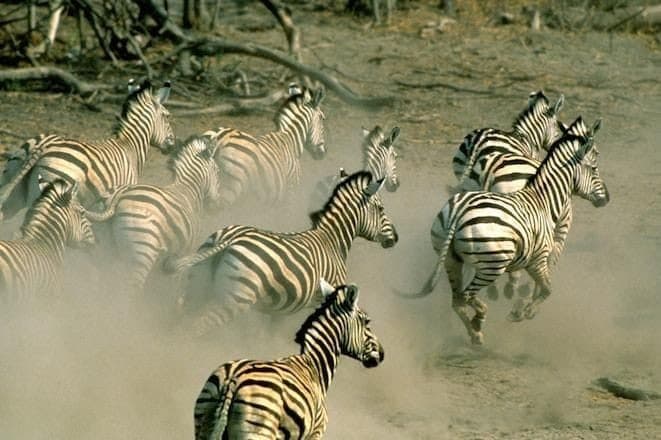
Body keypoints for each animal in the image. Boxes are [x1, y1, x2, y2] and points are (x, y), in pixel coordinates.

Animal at [82, 135, 222, 292]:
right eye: (218, 171)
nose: (218, 207)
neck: (189, 189)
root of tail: (116, 197)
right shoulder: (183, 252)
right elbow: (174, 285)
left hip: (103, 254)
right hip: (142, 254)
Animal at [163, 170, 398, 336]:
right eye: (381, 209)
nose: (395, 238)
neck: (332, 240)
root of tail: (230, 239)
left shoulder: (284, 308)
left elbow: (270, 334)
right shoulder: (325, 298)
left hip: (198, 288)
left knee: (180, 321)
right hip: (235, 299)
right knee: (196, 328)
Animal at [193, 281, 384, 440]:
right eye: (367, 322)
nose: (382, 354)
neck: (315, 366)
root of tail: (233, 379)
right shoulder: (315, 433)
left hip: (204, 419)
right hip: (259, 429)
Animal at [397, 130, 609, 345]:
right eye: (594, 168)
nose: (607, 198)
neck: (544, 201)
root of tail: (459, 211)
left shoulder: (532, 261)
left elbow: (541, 287)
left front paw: (522, 308)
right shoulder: (538, 259)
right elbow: (547, 289)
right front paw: (524, 312)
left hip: (450, 258)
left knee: (457, 301)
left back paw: (476, 335)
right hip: (493, 265)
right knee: (467, 295)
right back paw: (479, 320)